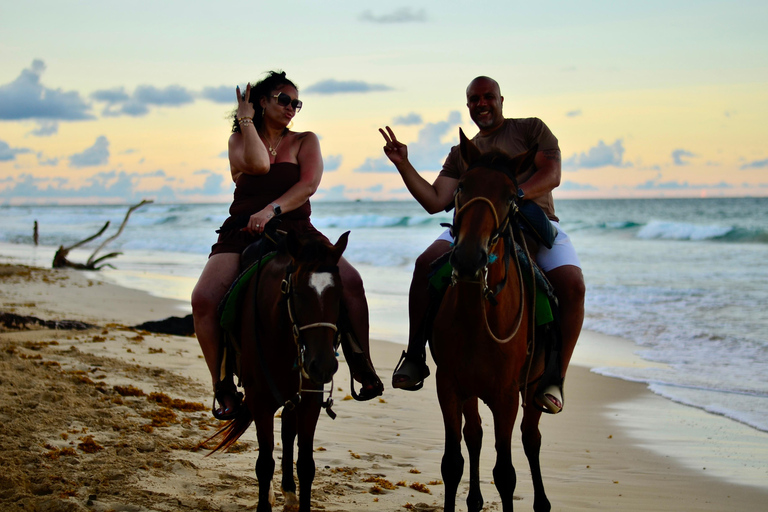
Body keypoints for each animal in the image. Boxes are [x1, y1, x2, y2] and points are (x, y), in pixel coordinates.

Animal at [208, 230, 350, 510]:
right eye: (298, 293)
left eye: (339, 293)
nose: (323, 365)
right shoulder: (260, 400)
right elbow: (264, 463)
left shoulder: (309, 400)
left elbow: (306, 464)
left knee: (286, 431)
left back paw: (289, 492)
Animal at [432, 132, 552, 512]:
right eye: (462, 187)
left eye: (512, 197)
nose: (469, 258)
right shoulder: (450, 385)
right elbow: (452, 462)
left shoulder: (506, 395)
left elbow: (506, 473)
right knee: (474, 436)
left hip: (533, 388)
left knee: (531, 438)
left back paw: (542, 503)